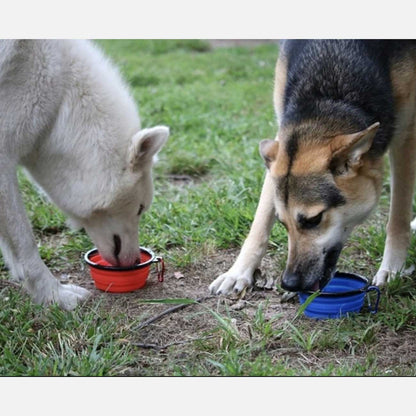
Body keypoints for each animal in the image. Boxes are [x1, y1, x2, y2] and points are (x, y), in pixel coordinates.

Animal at [210, 39, 416, 294]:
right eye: (282, 222)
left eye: (313, 220)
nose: (288, 284)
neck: (330, 92)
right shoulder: (281, 142)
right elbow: (260, 221)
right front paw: (238, 272)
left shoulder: (405, 138)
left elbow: (398, 217)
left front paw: (393, 269)